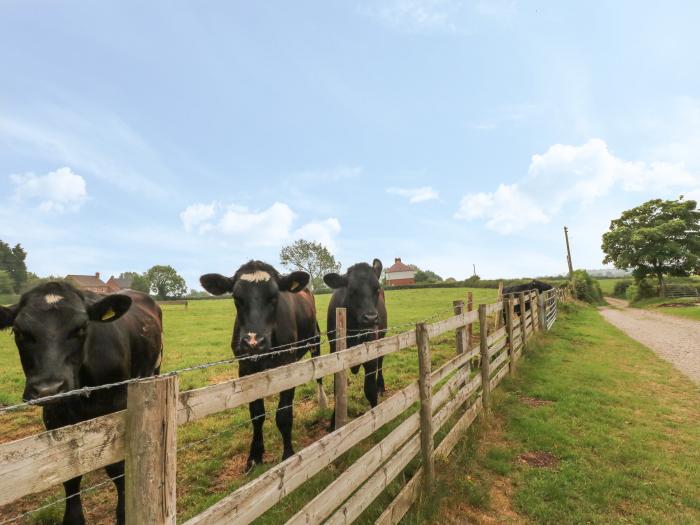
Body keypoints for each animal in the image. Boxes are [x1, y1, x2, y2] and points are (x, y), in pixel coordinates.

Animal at [0, 282, 161, 524]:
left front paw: (124, 513)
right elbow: (70, 474)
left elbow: (117, 468)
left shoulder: (118, 407)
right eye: (19, 332)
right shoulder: (54, 418)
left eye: (82, 328)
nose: (48, 389)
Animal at [200, 262, 326, 470]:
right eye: (237, 298)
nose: (254, 342)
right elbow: (256, 414)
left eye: (274, 297)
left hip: (314, 340)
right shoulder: (245, 369)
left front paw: (288, 454)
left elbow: (284, 414)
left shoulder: (287, 364)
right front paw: (254, 455)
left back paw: (323, 401)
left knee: (319, 374)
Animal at [324, 258, 388, 426]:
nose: (371, 318)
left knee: (381, 362)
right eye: (352, 290)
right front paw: (333, 421)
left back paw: (381, 386)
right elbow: (337, 390)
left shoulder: (371, 356)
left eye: (377, 289)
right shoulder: (335, 354)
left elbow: (369, 389)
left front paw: (375, 415)